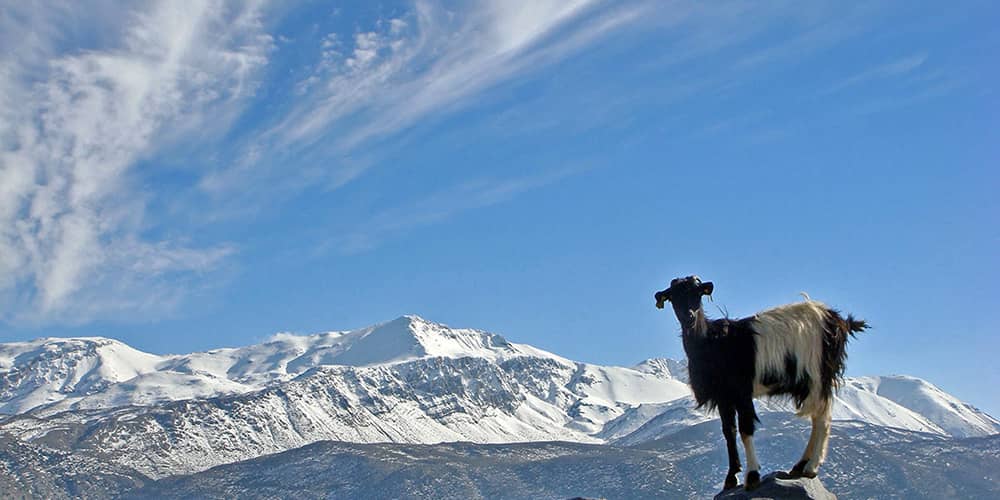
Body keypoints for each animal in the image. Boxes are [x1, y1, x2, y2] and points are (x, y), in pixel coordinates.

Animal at [656, 278, 868, 492]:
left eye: (698, 294)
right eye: (674, 297)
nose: (689, 316)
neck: (711, 342)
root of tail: (839, 321)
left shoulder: (742, 391)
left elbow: (745, 429)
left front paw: (752, 476)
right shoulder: (724, 396)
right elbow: (729, 431)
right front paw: (731, 478)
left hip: (818, 376)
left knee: (822, 419)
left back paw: (811, 466)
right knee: (817, 418)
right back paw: (799, 466)